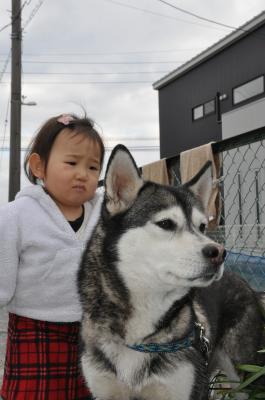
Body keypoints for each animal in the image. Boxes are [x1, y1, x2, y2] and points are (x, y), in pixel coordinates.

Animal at [78, 145, 264, 398]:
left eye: (202, 227)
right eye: (166, 224)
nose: (219, 253)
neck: (140, 339)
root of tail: (245, 283)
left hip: (244, 375)